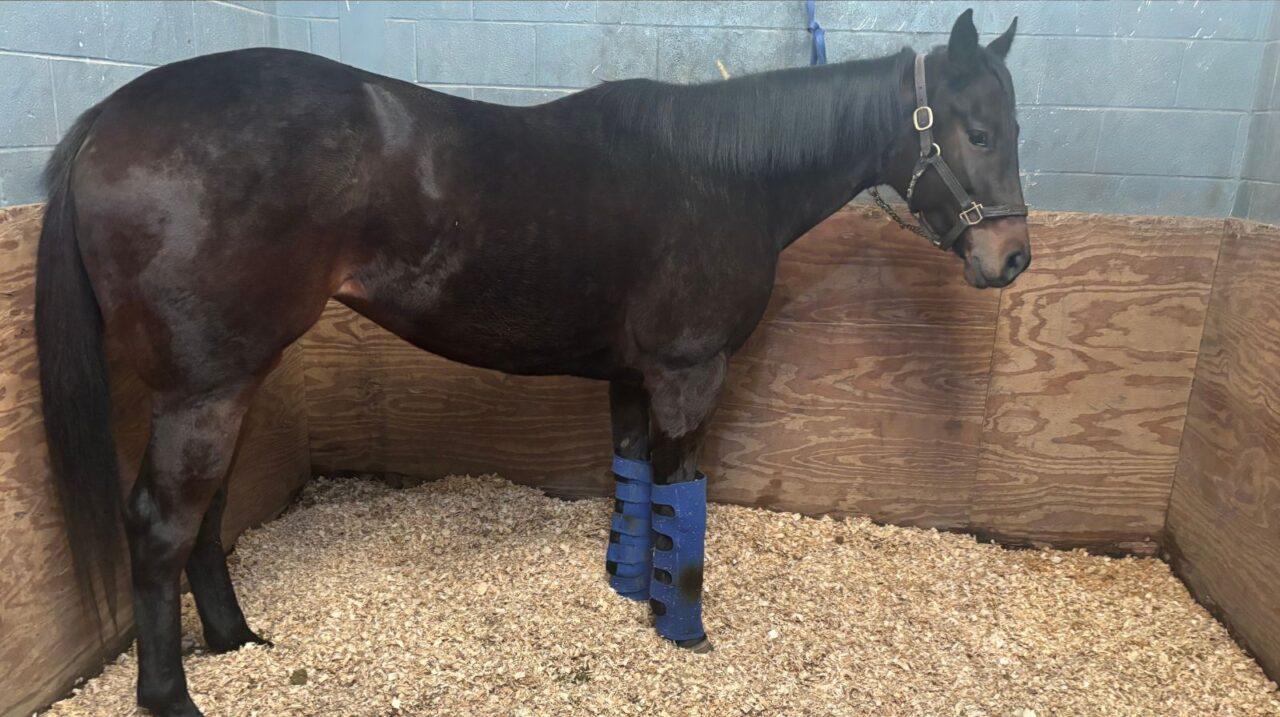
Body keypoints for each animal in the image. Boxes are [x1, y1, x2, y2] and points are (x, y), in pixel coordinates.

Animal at [36, 9, 1028, 715]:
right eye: (977, 131)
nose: (1011, 259)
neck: (720, 178)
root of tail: (109, 117)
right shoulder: (688, 374)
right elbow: (685, 497)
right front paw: (683, 626)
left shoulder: (633, 376)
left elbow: (635, 485)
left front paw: (632, 589)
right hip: (204, 390)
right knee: (160, 524)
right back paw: (172, 697)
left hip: (227, 381)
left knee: (204, 518)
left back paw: (238, 638)